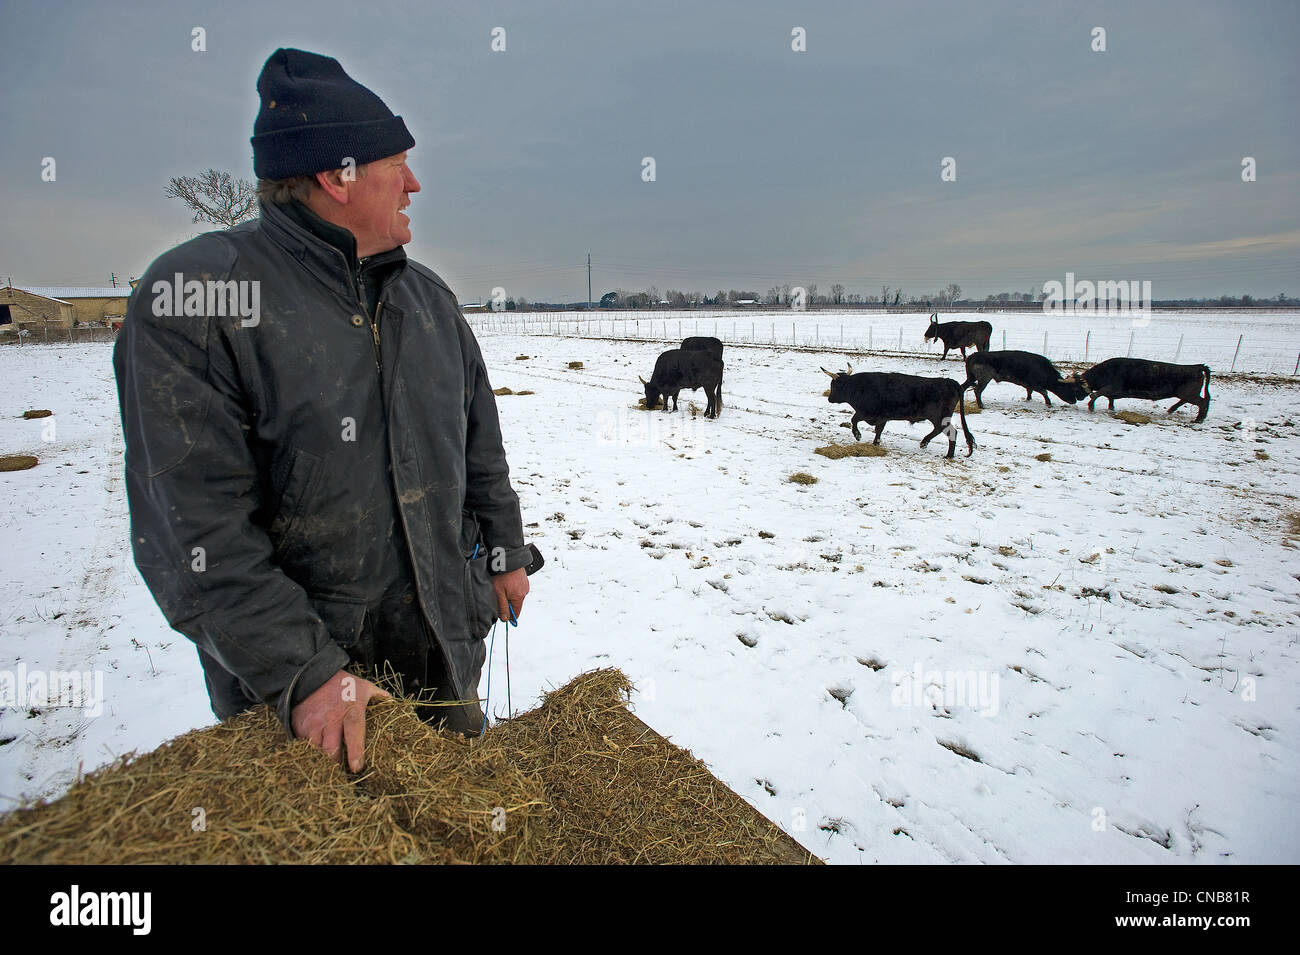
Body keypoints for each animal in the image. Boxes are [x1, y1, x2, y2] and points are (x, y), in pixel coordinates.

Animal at [821, 363, 977, 457]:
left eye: (833, 385)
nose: (829, 398)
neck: (858, 387)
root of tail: (951, 382)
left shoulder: (867, 413)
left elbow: (853, 419)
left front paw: (857, 435)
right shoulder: (882, 417)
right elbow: (879, 430)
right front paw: (876, 443)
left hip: (939, 417)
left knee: (951, 432)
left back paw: (947, 454)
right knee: (940, 430)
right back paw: (925, 443)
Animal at [956, 353, 1086, 407]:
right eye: (1071, 388)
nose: (1074, 401)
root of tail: (973, 356)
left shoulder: (1029, 385)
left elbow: (1029, 391)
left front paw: (1028, 399)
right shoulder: (1035, 384)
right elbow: (1044, 392)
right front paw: (1049, 403)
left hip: (971, 378)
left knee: (964, 387)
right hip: (984, 378)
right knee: (977, 390)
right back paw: (981, 405)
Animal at [1071, 358, 1211, 420]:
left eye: (1075, 388)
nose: (1076, 399)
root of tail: (1197, 367)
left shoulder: (1111, 387)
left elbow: (1096, 395)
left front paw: (1091, 407)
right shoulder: (1112, 392)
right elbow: (1109, 399)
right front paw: (1111, 409)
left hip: (1189, 394)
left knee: (1203, 402)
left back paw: (1199, 419)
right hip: (1187, 394)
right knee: (1188, 401)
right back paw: (1171, 410)